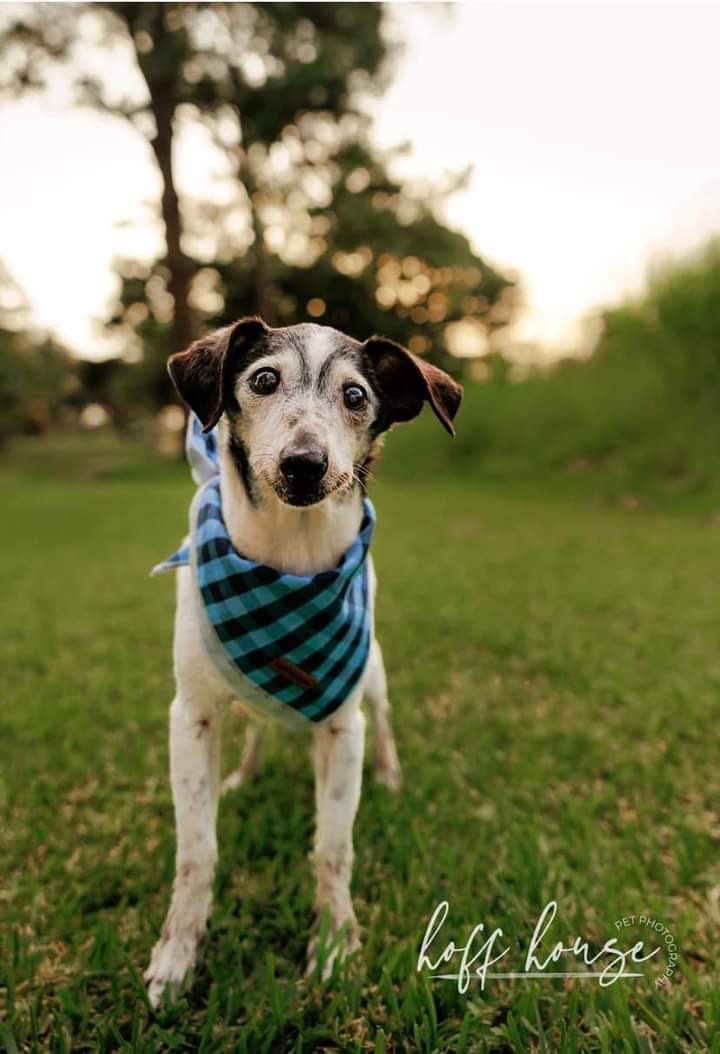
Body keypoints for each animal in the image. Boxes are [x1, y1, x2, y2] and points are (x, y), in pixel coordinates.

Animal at [145, 318, 461, 1003]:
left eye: (355, 395)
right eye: (264, 379)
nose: (304, 464)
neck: (287, 560)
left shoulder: (343, 727)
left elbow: (332, 847)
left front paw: (336, 944)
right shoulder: (191, 717)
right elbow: (196, 850)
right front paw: (177, 954)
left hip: (373, 675)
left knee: (384, 720)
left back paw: (390, 777)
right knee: (260, 726)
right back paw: (244, 775)